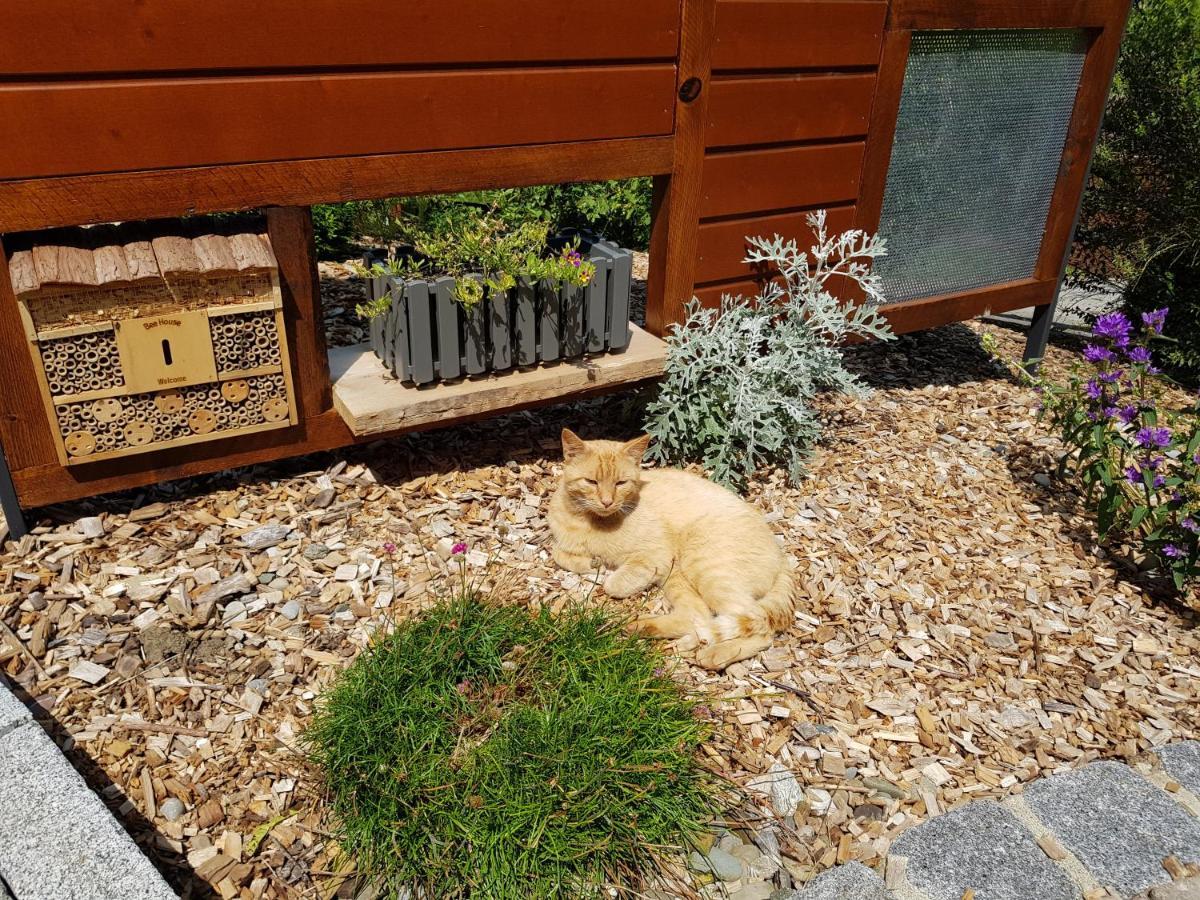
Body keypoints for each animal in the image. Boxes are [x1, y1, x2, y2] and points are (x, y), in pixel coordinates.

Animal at [547, 434, 792, 672]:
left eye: (621, 483)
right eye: (591, 481)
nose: (607, 502)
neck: (585, 520)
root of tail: (783, 560)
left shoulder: (656, 554)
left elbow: (613, 584)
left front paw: (606, 574)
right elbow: (557, 553)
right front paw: (591, 563)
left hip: (702, 565)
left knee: (757, 624)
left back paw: (715, 654)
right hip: (679, 575)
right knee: (697, 615)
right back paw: (641, 626)